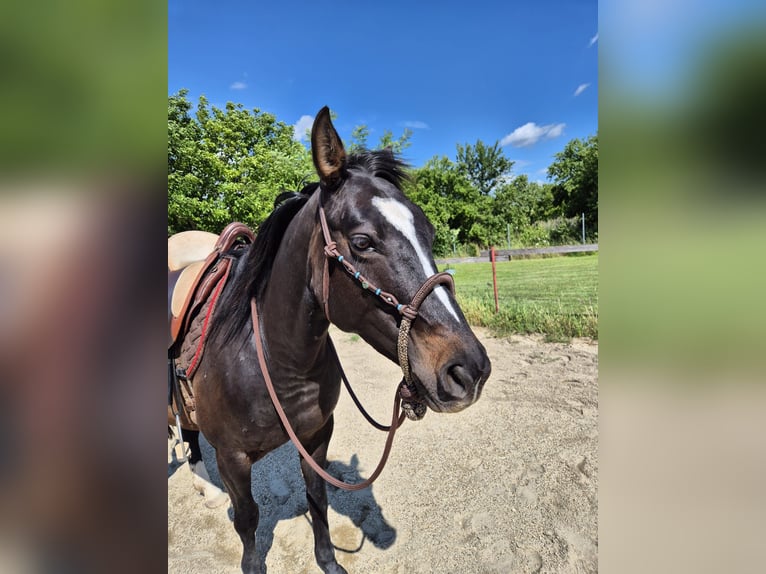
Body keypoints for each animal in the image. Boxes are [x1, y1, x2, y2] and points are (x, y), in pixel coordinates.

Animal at [174, 107, 491, 573]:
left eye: (430, 236)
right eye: (362, 241)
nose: (469, 370)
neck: (275, 358)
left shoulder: (318, 435)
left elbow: (317, 500)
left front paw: (328, 561)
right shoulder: (231, 457)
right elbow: (248, 519)